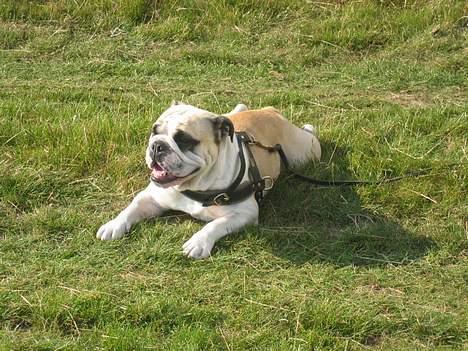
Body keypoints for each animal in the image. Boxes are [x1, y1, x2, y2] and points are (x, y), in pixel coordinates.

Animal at [96, 102, 320, 258]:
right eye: (154, 131)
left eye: (184, 140)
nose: (157, 145)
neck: (195, 184)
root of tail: (269, 111)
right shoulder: (150, 198)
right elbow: (131, 207)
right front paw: (114, 224)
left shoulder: (245, 213)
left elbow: (216, 224)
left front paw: (198, 242)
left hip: (305, 152)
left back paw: (310, 127)